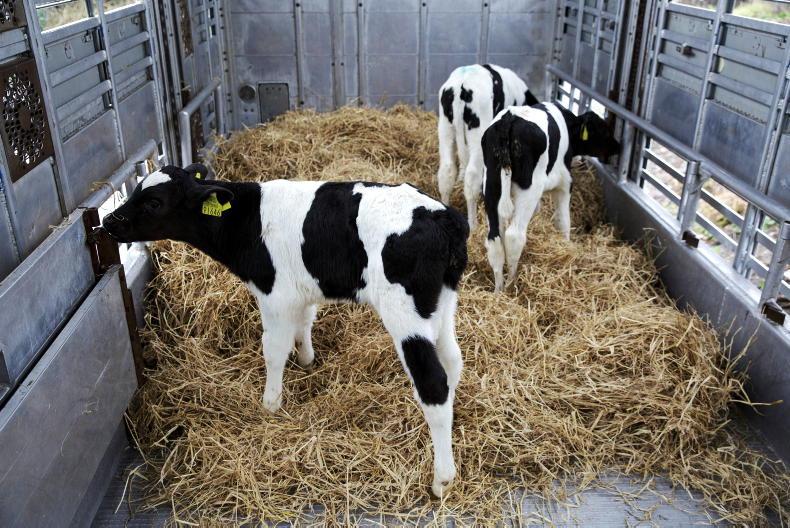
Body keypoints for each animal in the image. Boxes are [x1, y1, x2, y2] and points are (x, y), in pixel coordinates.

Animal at [101, 164, 469, 497]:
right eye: (136, 190)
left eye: (154, 202)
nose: (109, 221)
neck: (248, 220)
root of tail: (443, 217)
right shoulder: (301, 291)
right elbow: (304, 323)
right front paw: (307, 360)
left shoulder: (274, 294)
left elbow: (274, 350)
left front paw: (270, 404)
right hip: (442, 304)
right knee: (452, 361)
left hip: (405, 313)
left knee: (433, 381)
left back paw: (442, 479)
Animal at [436, 64, 540, 229]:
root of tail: (462, 85)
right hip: (478, 134)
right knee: (471, 177)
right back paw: (473, 225)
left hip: (445, 128)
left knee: (446, 171)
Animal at [481, 103, 619, 292]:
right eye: (604, 130)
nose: (618, 146)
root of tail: (510, 118)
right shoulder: (565, 183)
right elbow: (563, 221)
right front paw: (567, 247)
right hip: (529, 188)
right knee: (514, 236)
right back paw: (511, 284)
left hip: (491, 184)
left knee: (495, 238)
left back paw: (498, 290)